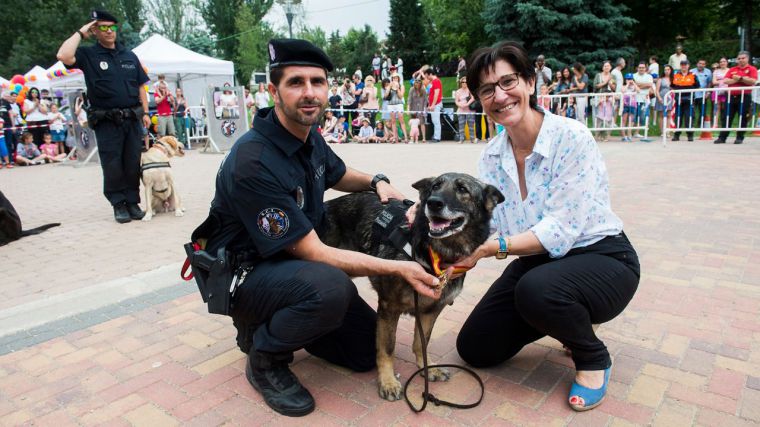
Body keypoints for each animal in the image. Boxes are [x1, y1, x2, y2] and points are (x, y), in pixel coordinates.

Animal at [322, 172, 504, 400]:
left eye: (462, 189)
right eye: (435, 186)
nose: (433, 203)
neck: (433, 254)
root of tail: (328, 205)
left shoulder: (430, 311)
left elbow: (421, 342)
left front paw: (427, 369)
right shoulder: (389, 308)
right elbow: (387, 348)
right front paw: (388, 381)